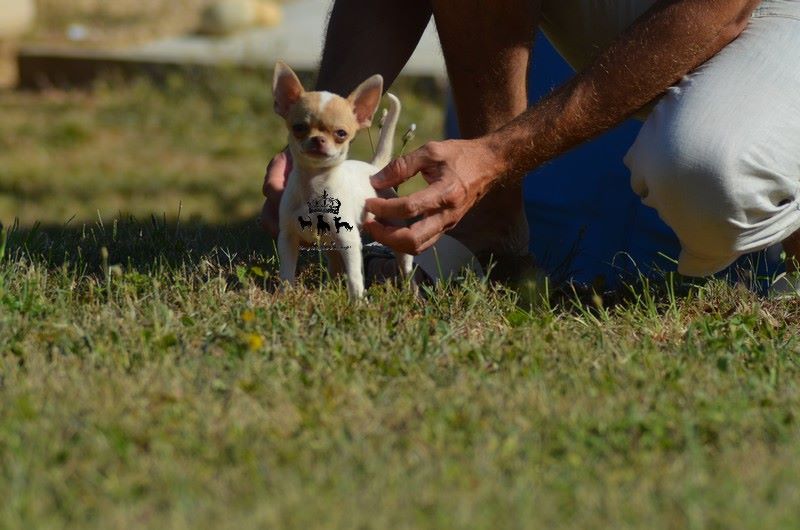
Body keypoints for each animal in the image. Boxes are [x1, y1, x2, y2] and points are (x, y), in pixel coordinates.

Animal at [274, 62, 412, 296]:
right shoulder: (288, 239)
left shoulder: (349, 241)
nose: (318, 139)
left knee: (405, 263)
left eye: (341, 133)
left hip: (395, 231)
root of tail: (374, 168)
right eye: (299, 128)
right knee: (335, 265)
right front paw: (284, 296)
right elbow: (286, 273)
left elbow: (355, 277)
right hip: (331, 245)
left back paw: (411, 290)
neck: (314, 183)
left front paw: (358, 300)